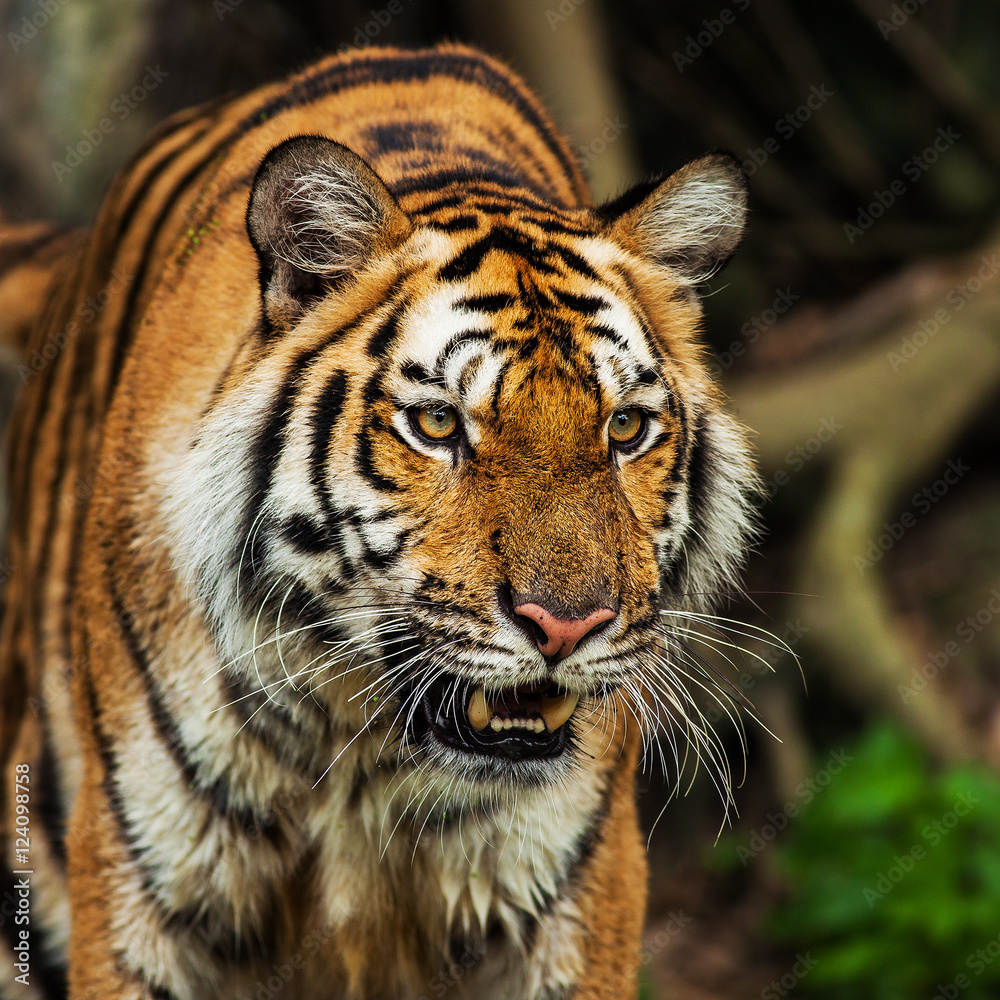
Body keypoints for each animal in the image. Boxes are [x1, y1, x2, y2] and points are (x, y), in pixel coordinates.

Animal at [0, 43, 757, 1000]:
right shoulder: (142, 891)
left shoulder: (574, 895)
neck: (365, 748)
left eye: (625, 430)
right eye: (437, 424)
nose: (566, 626)